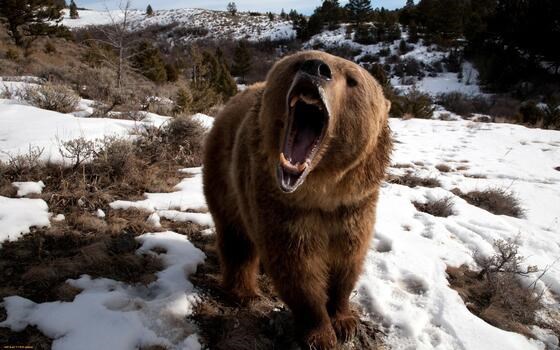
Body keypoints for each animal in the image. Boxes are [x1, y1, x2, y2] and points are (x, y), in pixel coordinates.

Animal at [203, 50, 392, 348]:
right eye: (299, 61)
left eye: (353, 80)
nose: (316, 68)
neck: (321, 191)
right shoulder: (282, 205)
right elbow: (297, 268)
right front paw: (320, 334)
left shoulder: (355, 205)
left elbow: (348, 260)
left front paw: (345, 321)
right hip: (225, 173)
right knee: (236, 237)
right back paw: (244, 292)